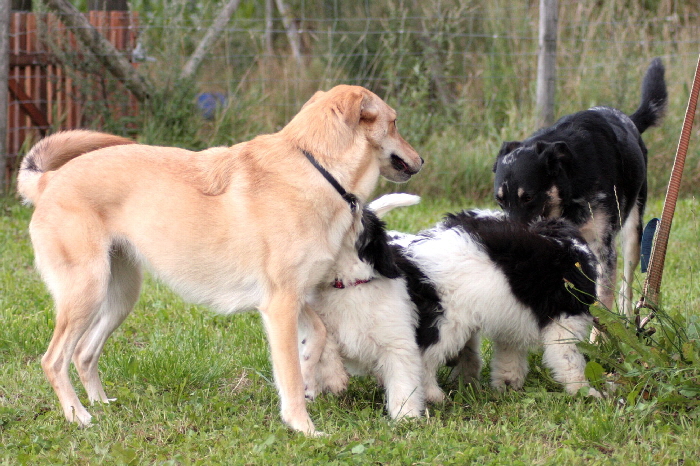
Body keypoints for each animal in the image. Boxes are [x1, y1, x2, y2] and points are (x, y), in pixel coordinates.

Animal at [16, 84, 422, 436]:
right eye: (395, 123)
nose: (420, 160)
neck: (316, 168)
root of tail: (49, 181)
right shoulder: (280, 305)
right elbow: (289, 374)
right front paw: (302, 426)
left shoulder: (292, 298)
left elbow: (318, 337)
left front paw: (320, 375)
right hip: (86, 293)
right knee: (54, 360)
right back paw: (77, 415)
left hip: (119, 297)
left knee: (84, 354)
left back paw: (101, 405)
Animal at [300, 193, 600, 418]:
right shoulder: (564, 320)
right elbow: (569, 360)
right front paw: (586, 392)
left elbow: (510, 354)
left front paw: (507, 384)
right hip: (448, 321)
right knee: (428, 359)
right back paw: (435, 394)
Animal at [492, 57, 668, 314]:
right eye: (499, 200)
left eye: (529, 197)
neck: (571, 185)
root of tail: (629, 120)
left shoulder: (603, 249)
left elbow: (602, 300)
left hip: (634, 233)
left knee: (626, 285)